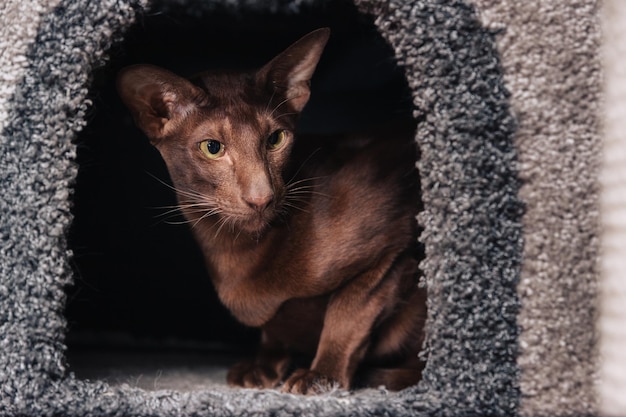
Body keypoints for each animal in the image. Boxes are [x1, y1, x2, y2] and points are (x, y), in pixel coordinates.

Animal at [116, 26, 424, 394]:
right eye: (212, 148)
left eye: (275, 139)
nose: (261, 198)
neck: (233, 252)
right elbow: (272, 331)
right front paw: (263, 366)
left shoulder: (392, 250)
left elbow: (347, 313)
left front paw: (322, 376)